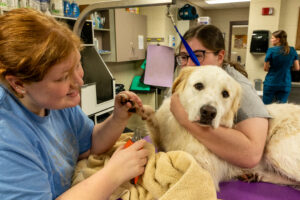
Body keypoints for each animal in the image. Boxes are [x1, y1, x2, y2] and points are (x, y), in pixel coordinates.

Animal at [135, 65, 300, 191]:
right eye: (199, 86)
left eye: (225, 94)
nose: (208, 112)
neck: (187, 130)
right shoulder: (162, 138)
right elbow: (155, 128)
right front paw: (143, 110)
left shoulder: (204, 170)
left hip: (276, 149)